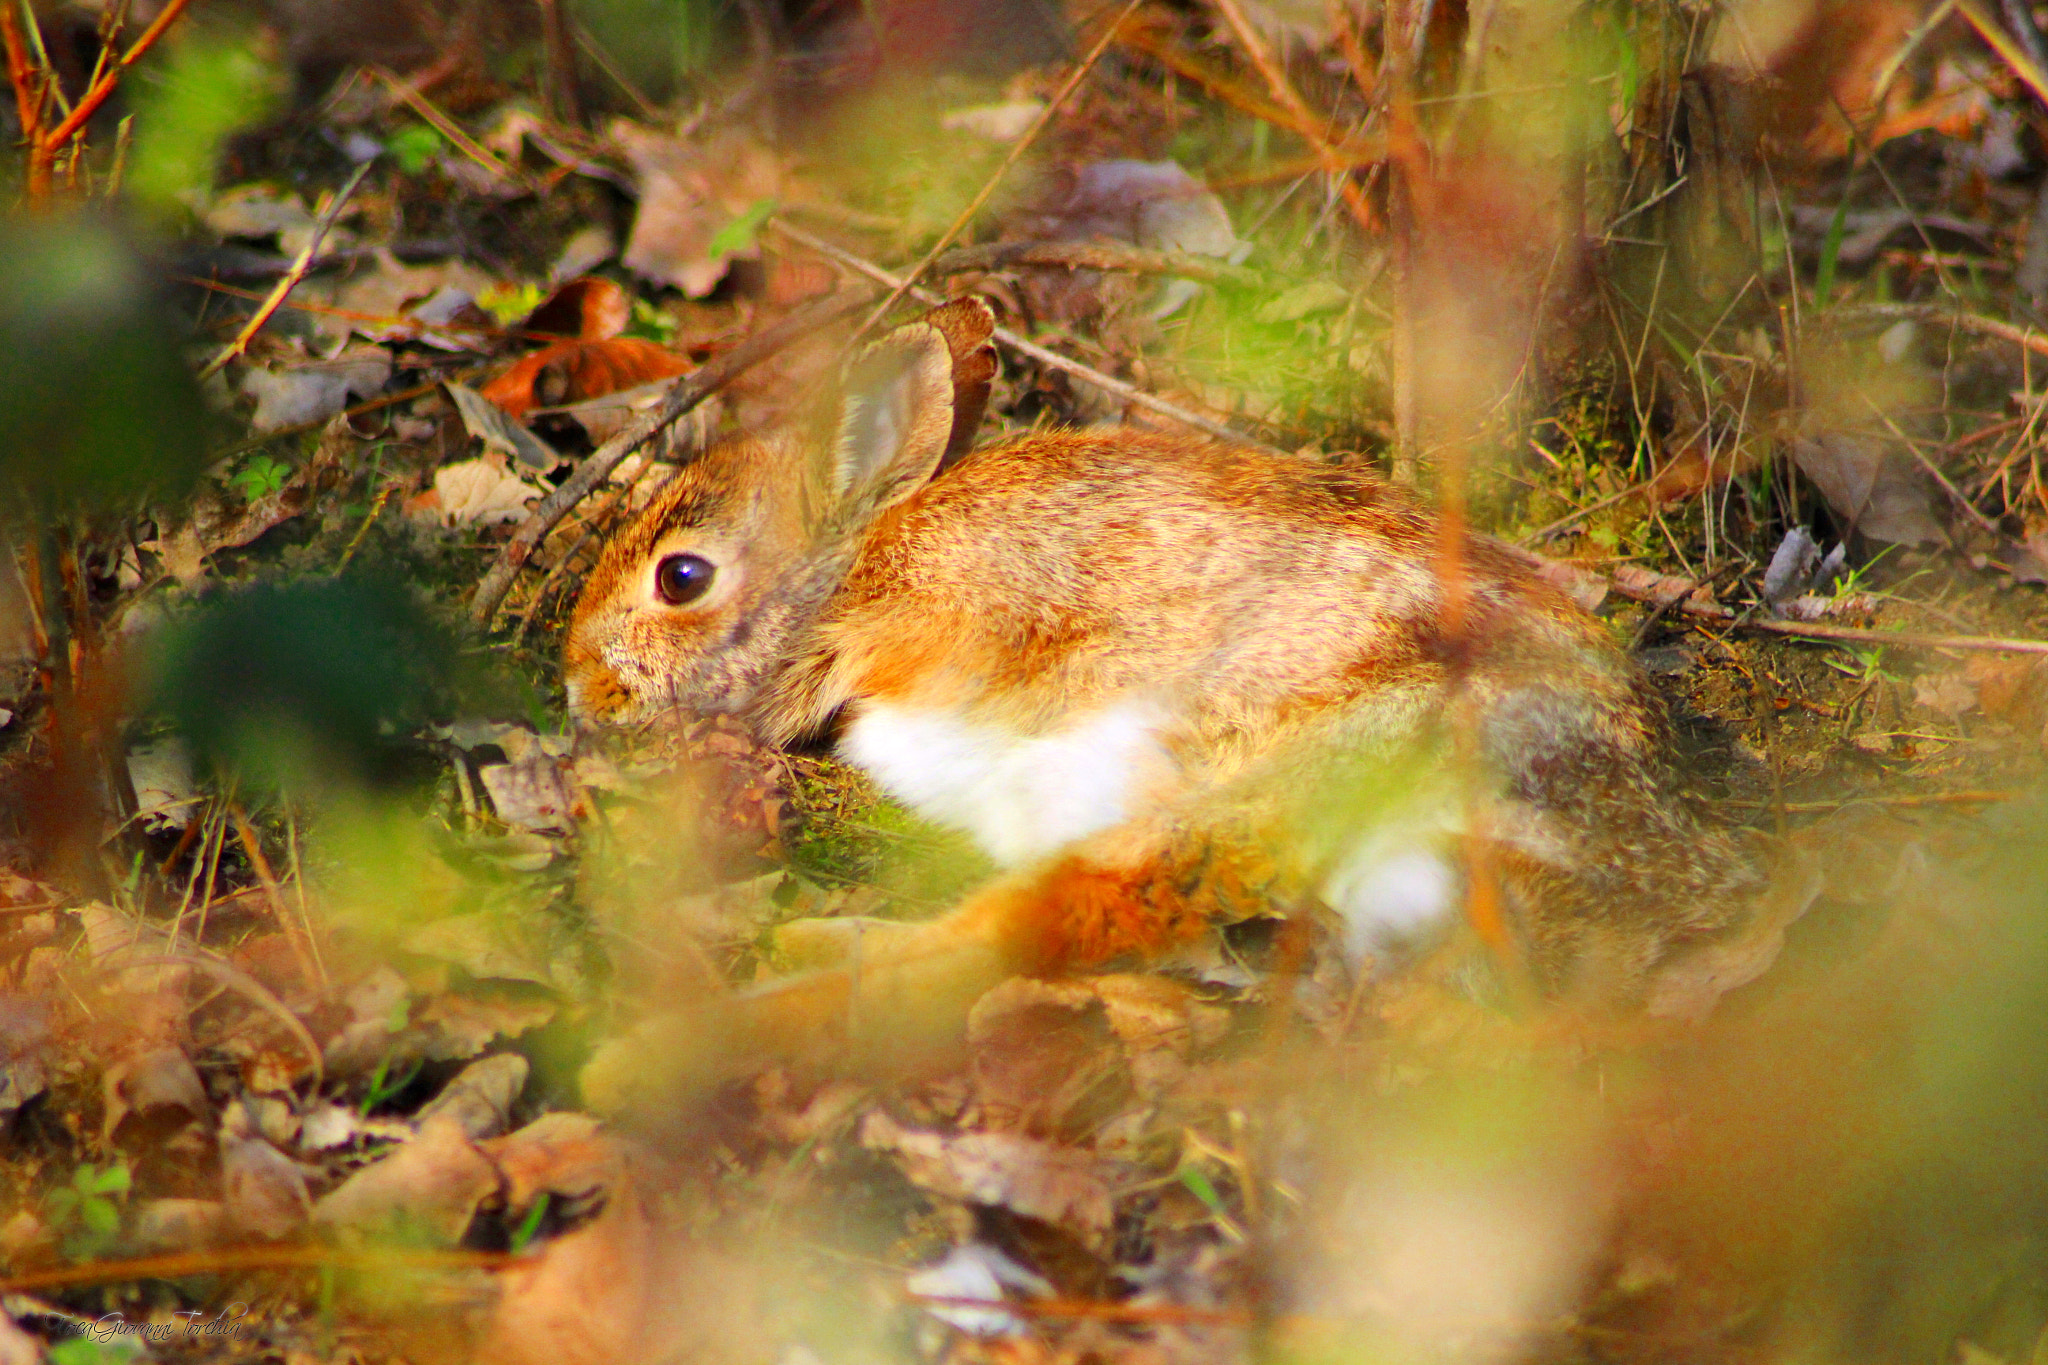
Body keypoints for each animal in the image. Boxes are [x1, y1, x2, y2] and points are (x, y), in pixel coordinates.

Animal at [564, 296, 1819, 1090]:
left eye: (682, 578)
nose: (579, 685)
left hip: (1315, 779)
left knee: (1028, 931)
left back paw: (664, 1052)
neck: (861, 565)